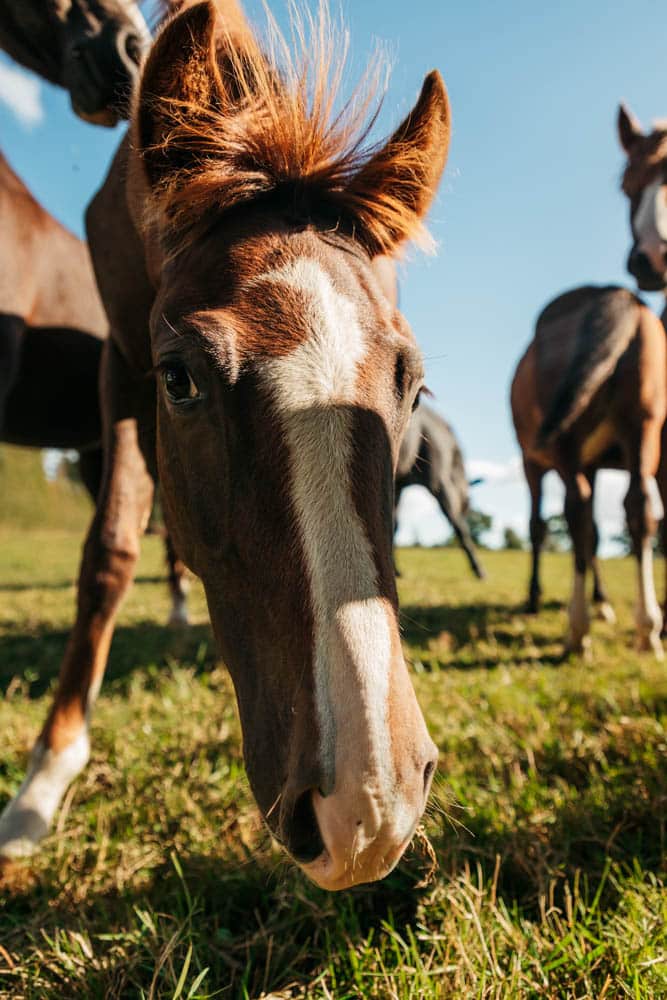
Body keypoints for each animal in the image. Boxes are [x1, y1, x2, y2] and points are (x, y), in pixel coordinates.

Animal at [396, 400, 486, 580]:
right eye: (468, 503)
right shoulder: (440, 483)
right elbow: (460, 527)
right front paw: (478, 570)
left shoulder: (398, 484)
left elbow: (393, 523)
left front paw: (395, 570)